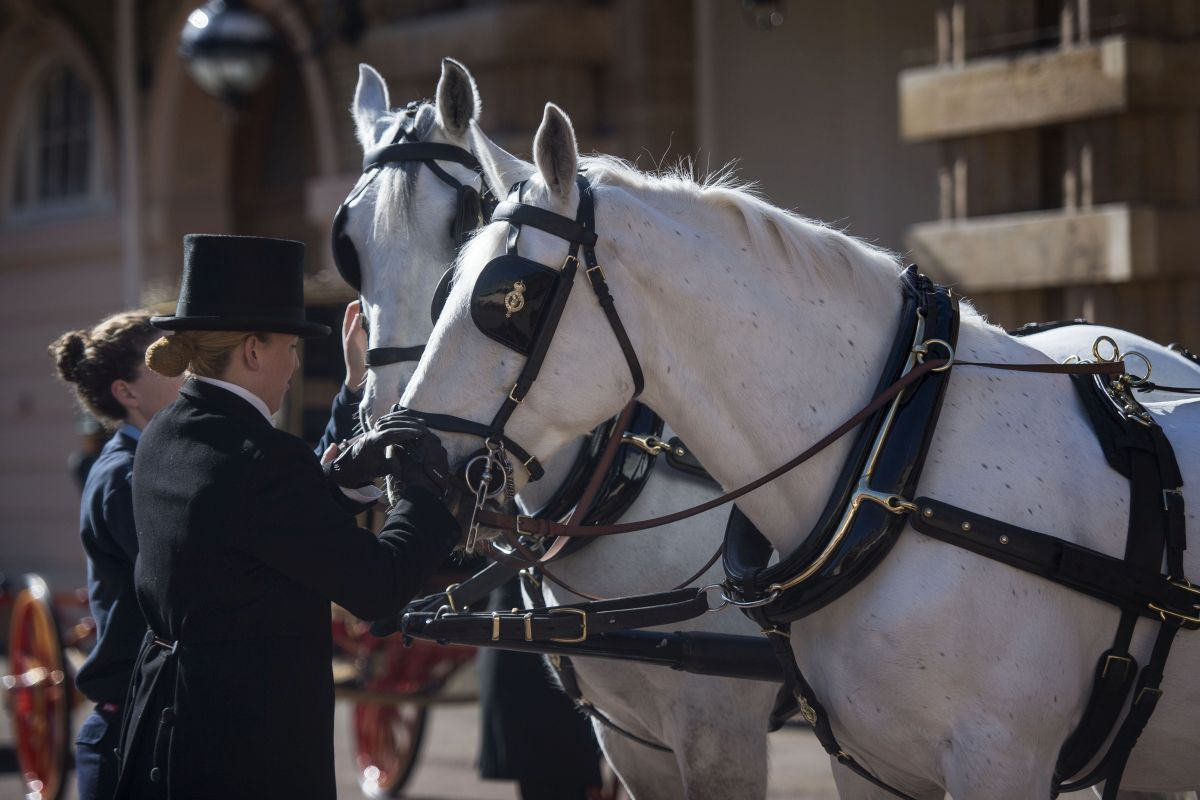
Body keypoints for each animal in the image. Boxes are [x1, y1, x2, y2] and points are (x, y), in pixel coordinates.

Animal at [396, 101, 1200, 800]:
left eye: (510, 300)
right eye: (448, 290)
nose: (398, 457)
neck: (891, 467)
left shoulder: (989, 760)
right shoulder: (852, 762)